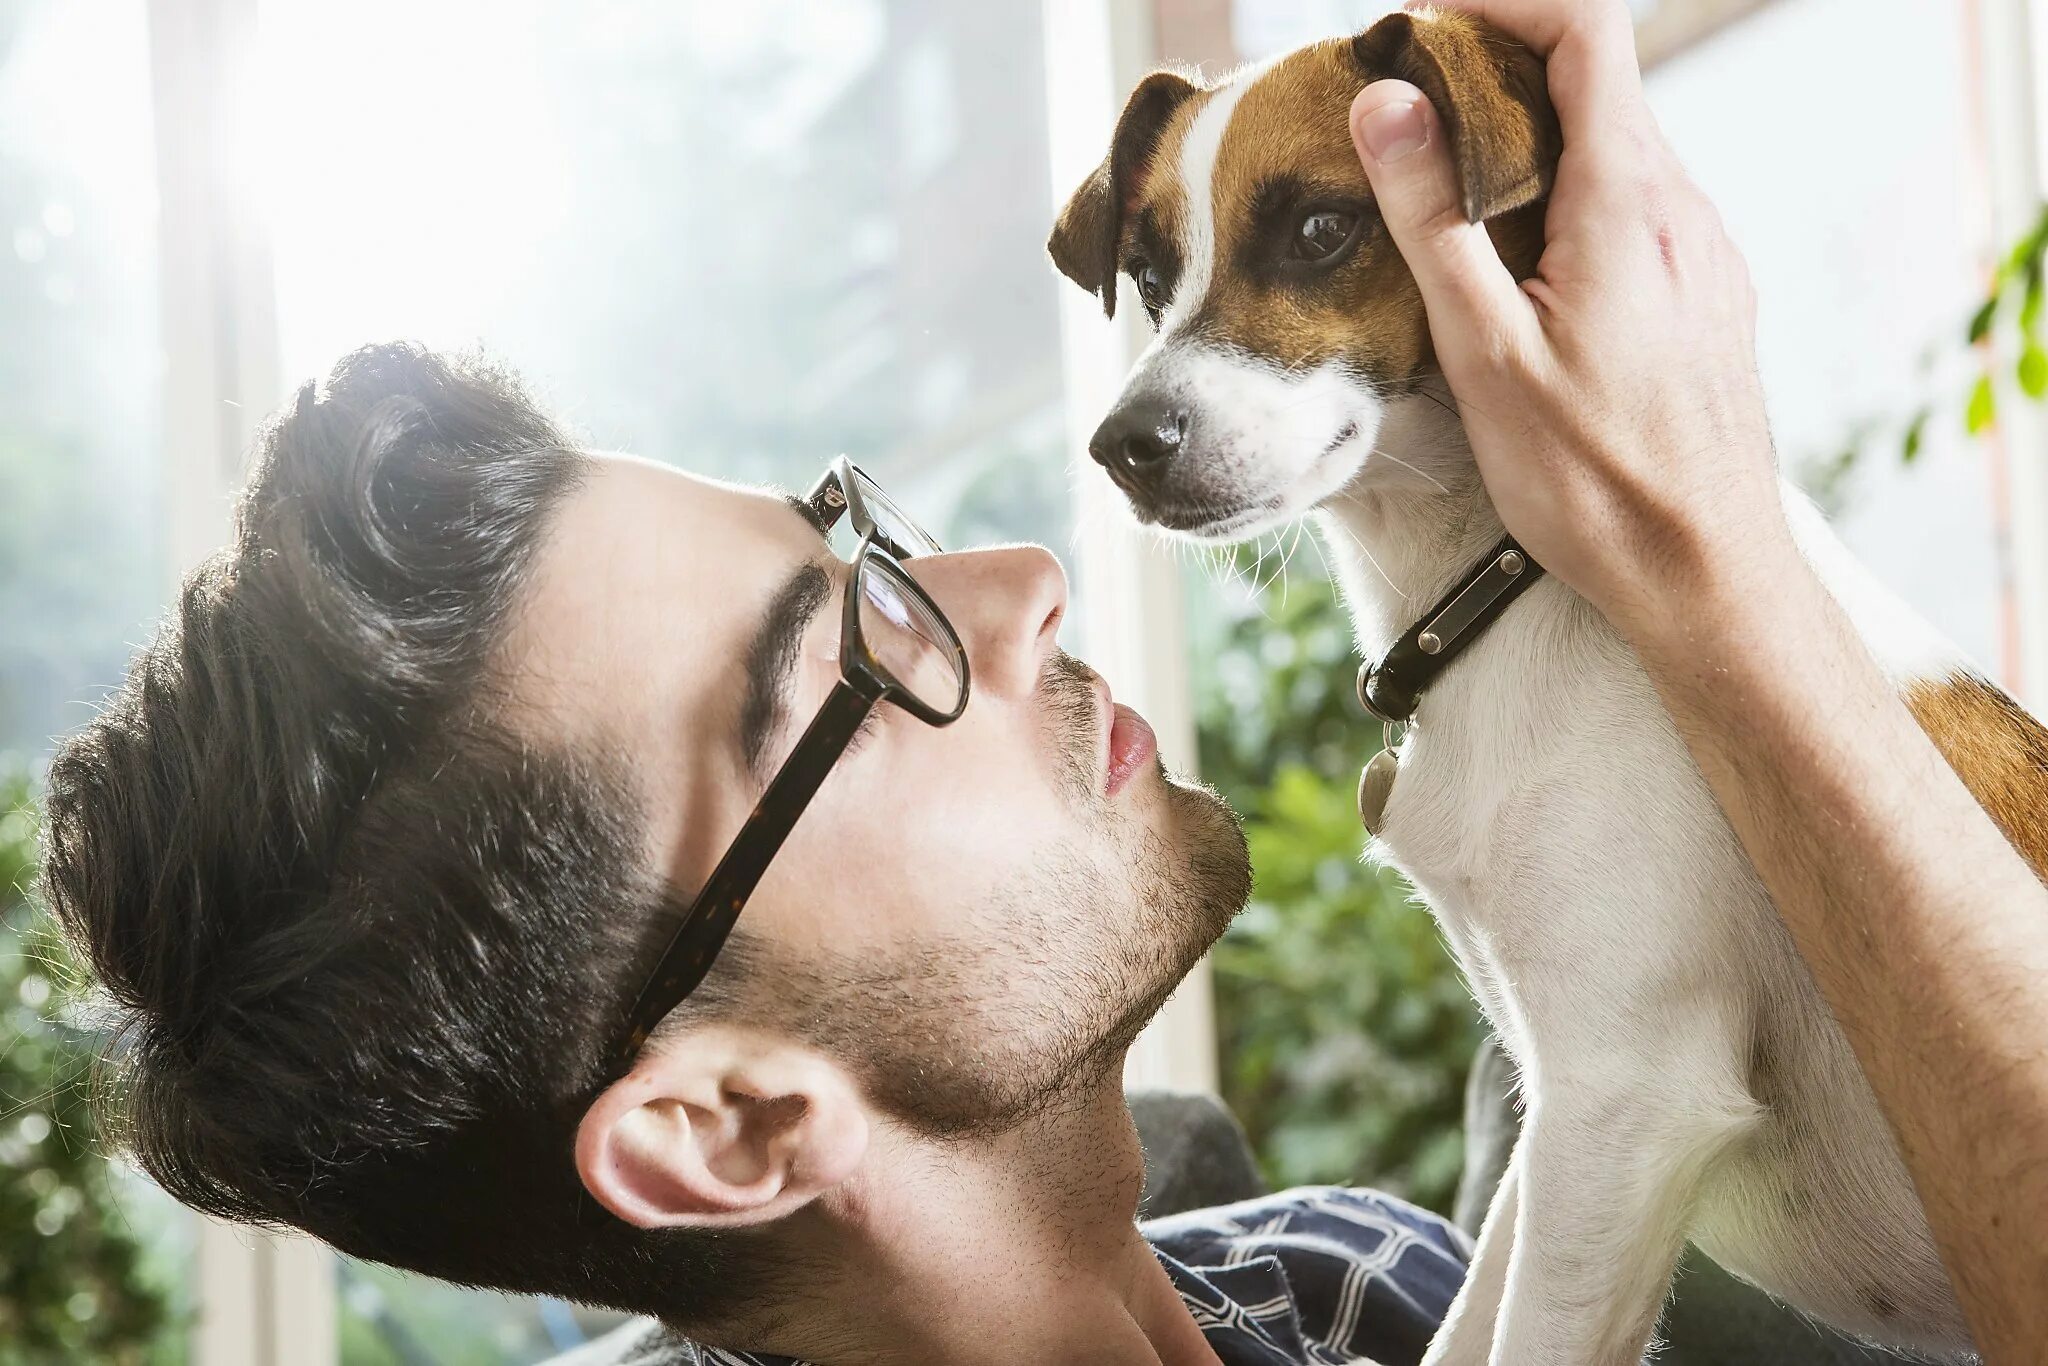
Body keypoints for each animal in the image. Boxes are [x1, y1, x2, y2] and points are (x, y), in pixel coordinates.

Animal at [1048, 10, 2039, 1366]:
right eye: (1148, 275)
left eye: (1320, 229)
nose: (1121, 447)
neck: (1505, 584)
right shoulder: (1560, 1113)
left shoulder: (1628, 1099)